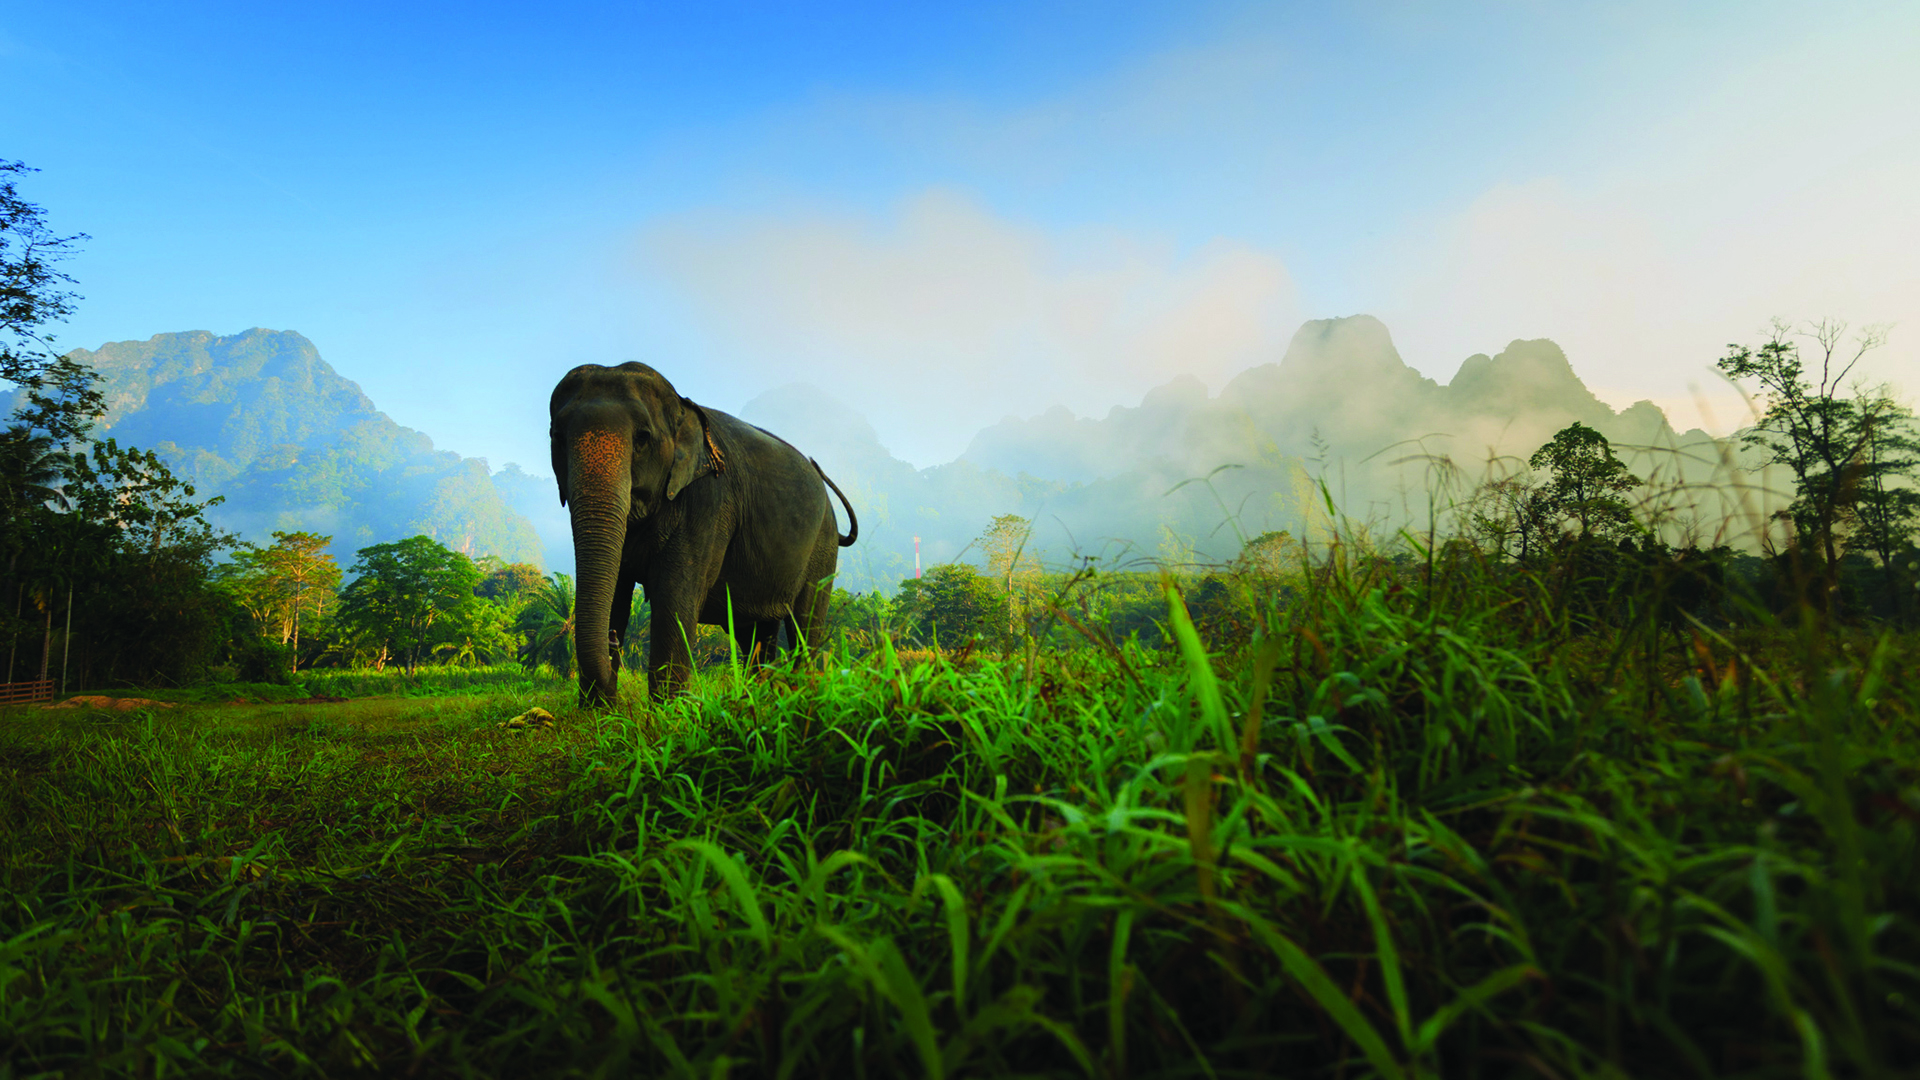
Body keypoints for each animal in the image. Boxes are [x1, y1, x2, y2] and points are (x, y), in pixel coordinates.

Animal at [549, 362, 857, 704]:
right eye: (557, 437)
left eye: (642, 438)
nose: (613, 639)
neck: (681, 407)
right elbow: (616, 591)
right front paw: (597, 712)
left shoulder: (708, 503)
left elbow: (674, 599)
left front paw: (666, 714)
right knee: (756, 635)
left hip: (822, 548)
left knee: (805, 625)